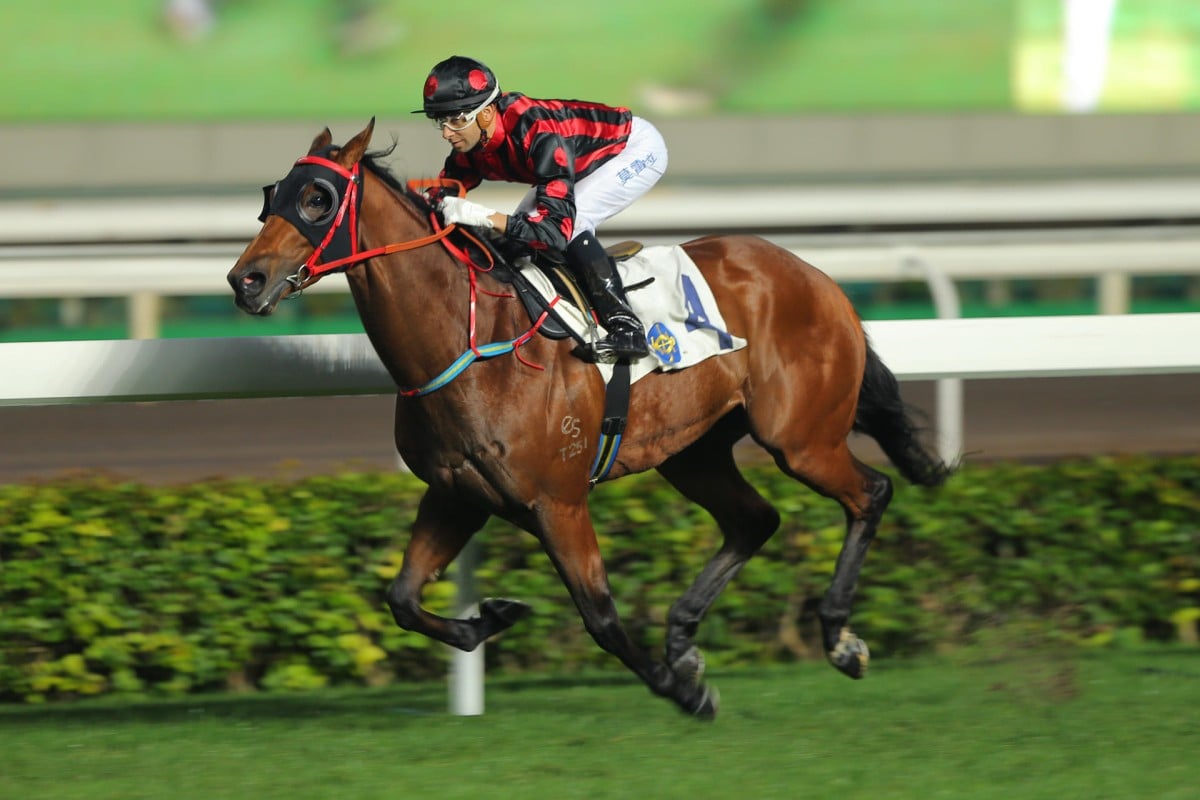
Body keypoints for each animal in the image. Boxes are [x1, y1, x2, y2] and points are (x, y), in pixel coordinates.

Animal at [229, 118, 950, 719]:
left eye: (318, 198)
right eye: (272, 194)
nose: (246, 280)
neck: (471, 342)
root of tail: (820, 279)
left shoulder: (558, 501)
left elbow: (599, 616)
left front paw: (683, 692)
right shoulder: (456, 493)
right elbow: (402, 598)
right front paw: (494, 615)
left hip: (799, 437)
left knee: (870, 493)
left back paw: (837, 638)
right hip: (693, 451)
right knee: (756, 519)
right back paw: (683, 636)